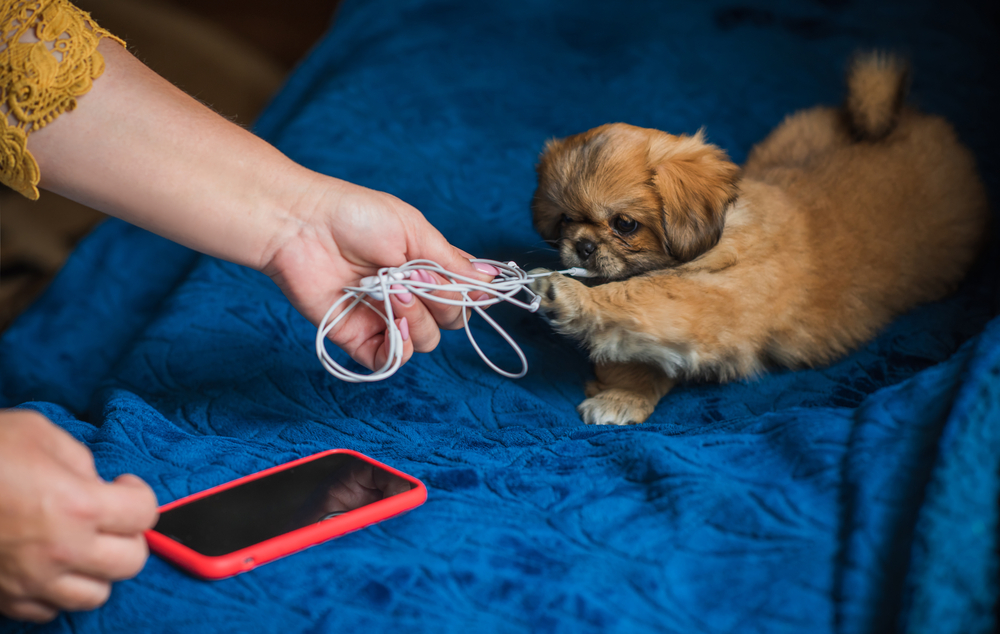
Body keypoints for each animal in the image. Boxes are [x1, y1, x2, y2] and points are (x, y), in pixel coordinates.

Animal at [528, 51, 988, 422]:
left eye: (624, 224)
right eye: (565, 220)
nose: (583, 246)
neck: (720, 233)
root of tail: (903, 119)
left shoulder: (711, 304)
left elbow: (634, 299)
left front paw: (567, 296)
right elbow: (639, 351)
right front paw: (622, 392)